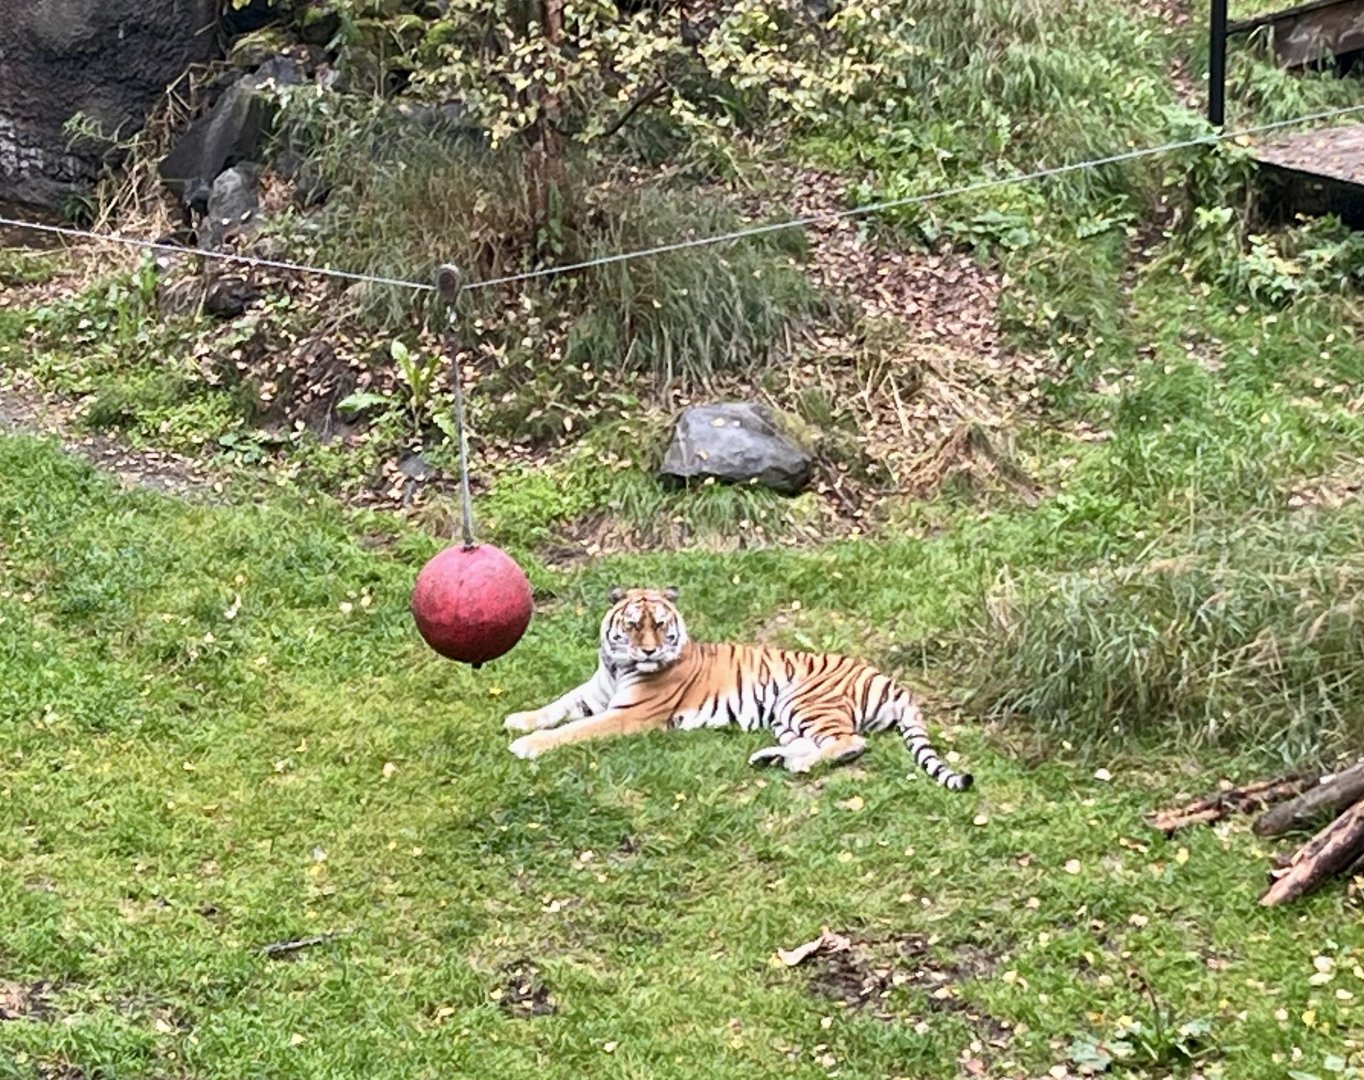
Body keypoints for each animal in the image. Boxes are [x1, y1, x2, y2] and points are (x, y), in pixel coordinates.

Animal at [504, 586, 974, 790]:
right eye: (634, 625)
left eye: (660, 624)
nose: (651, 651)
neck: (618, 667)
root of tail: (888, 678)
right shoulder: (593, 693)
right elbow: (555, 707)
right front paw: (517, 720)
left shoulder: (629, 714)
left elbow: (572, 730)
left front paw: (526, 746)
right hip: (785, 715)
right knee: (816, 743)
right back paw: (773, 758)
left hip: (802, 699)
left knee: (851, 741)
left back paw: (795, 765)